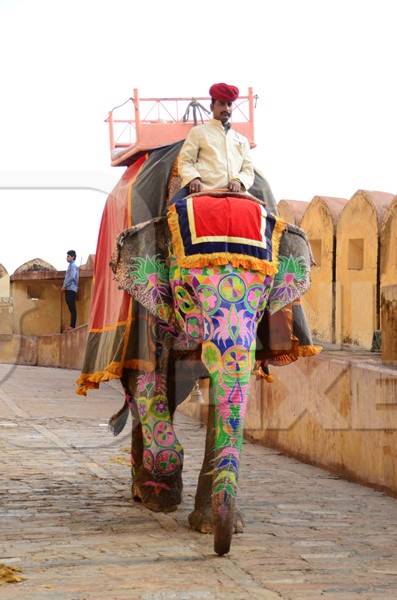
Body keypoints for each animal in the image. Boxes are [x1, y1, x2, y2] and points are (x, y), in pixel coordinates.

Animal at [109, 190, 318, 556]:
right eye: (187, 294)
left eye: (264, 298)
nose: (222, 550)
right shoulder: (148, 304)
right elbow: (149, 377)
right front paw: (165, 483)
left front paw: (212, 526)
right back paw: (148, 495)